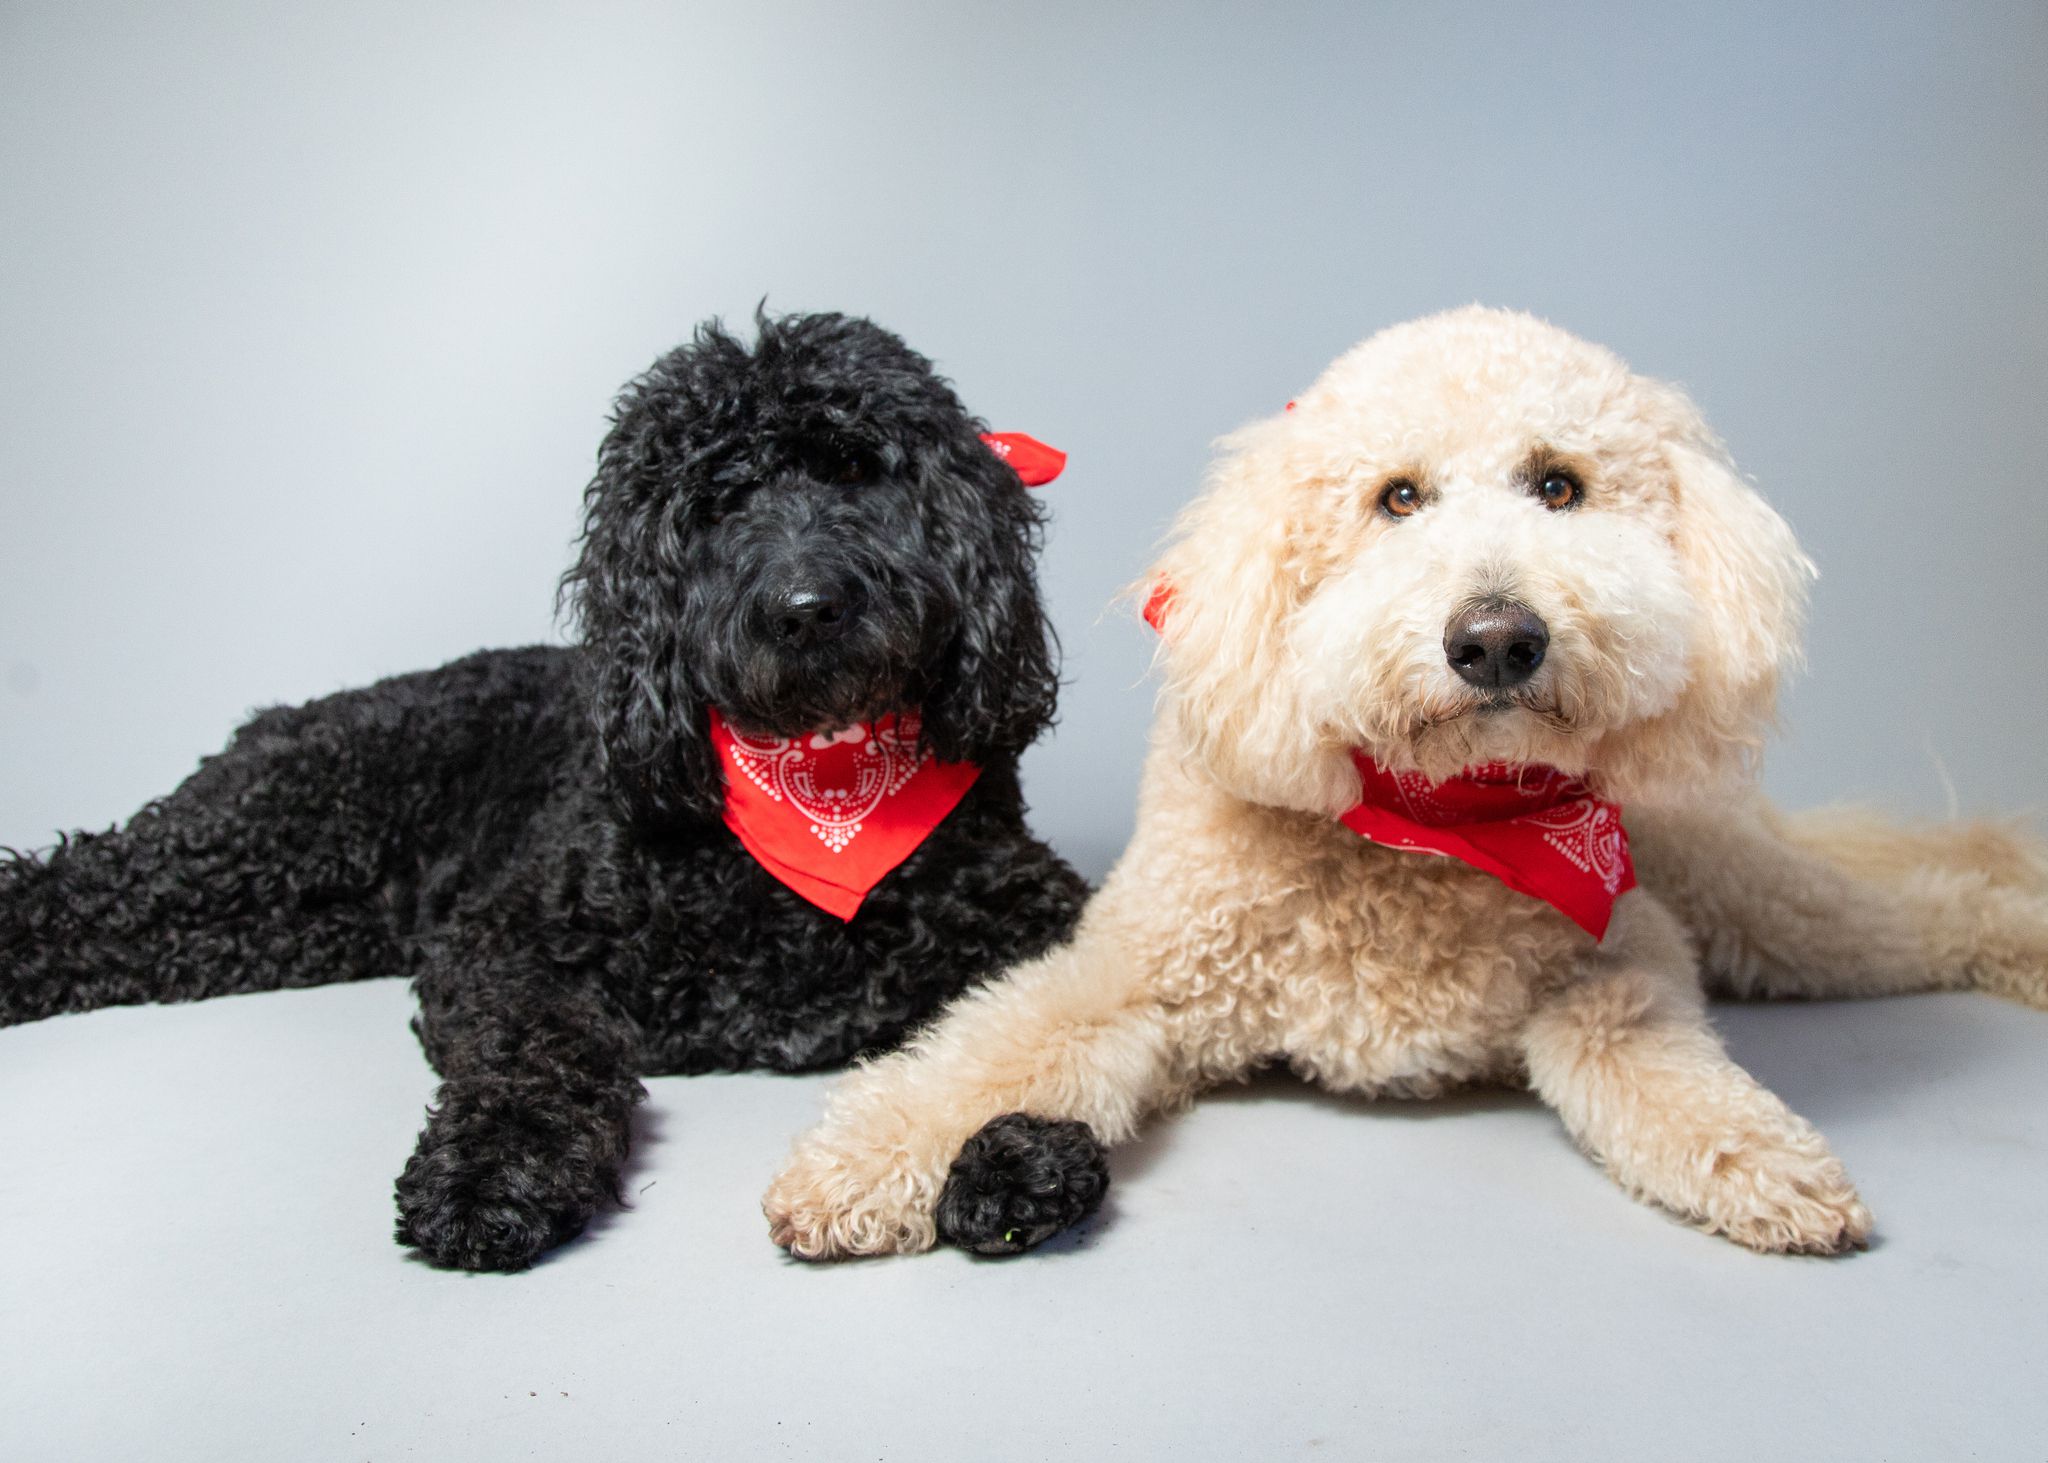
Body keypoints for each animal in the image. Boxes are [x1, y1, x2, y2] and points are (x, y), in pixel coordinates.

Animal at [0, 307, 1105, 1262]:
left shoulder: (1030, 911)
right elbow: (535, 1049)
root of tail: (278, 716)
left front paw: (1019, 1146)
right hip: (260, 830)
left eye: (854, 470)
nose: (806, 607)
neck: (820, 785)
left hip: (278, 921)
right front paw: (495, 1170)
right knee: (71, 885)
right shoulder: (505, 942)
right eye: (716, 502)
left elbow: (1040, 1015)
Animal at [761, 305, 2039, 1254]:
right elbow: (996, 1048)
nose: (1495, 637)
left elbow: (1642, 1051)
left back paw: (2014, 931)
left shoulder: (1624, 959)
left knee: (1931, 905)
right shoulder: (1136, 974)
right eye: (1397, 497)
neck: (1430, 822)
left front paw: (1761, 1154)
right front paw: (854, 1165)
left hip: (1754, 902)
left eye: (1559, 486)